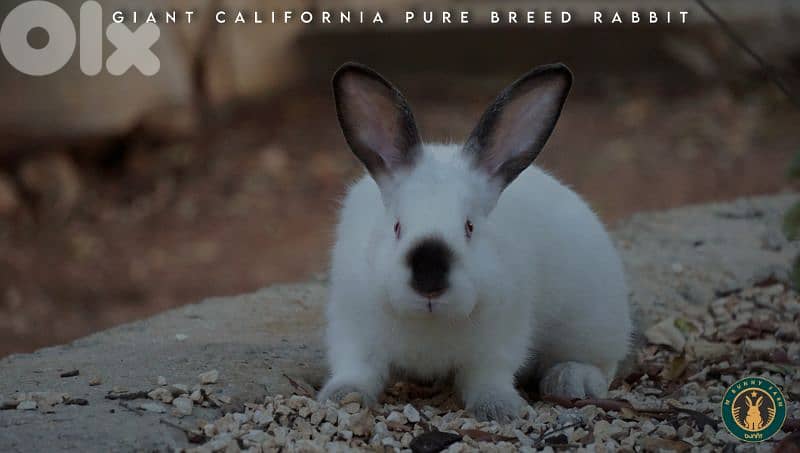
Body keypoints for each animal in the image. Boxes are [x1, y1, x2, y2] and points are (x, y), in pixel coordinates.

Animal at [318, 62, 632, 422]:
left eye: (469, 227)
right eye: (397, 227)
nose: (429, 280)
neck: (431, 321)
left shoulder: (500, 341)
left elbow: (488, 377)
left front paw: (499, 408)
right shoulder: (352, 330)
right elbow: (356, 368)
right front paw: (341, 396)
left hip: (594, 324)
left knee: (600, 363)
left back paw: (571, 380)